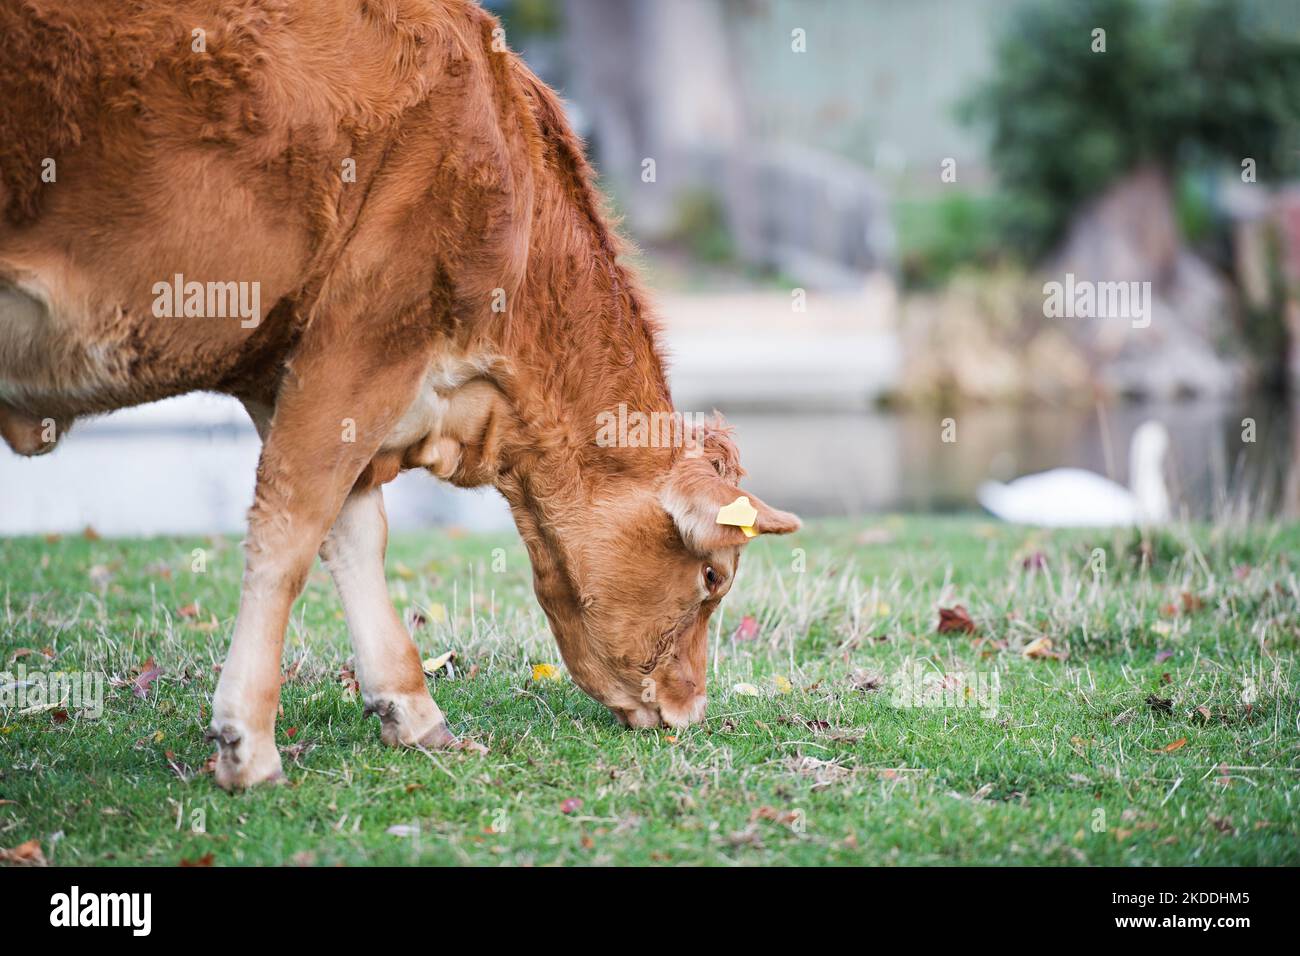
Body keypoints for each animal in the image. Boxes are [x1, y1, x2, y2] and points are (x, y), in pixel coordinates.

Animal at [0, 0, 795, 790]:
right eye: (713, 576)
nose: (690, 709)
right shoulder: (365, 342)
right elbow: (290, 529)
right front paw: (247, 744)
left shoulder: (289, 366)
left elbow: (353, 534)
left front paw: (412, 712)